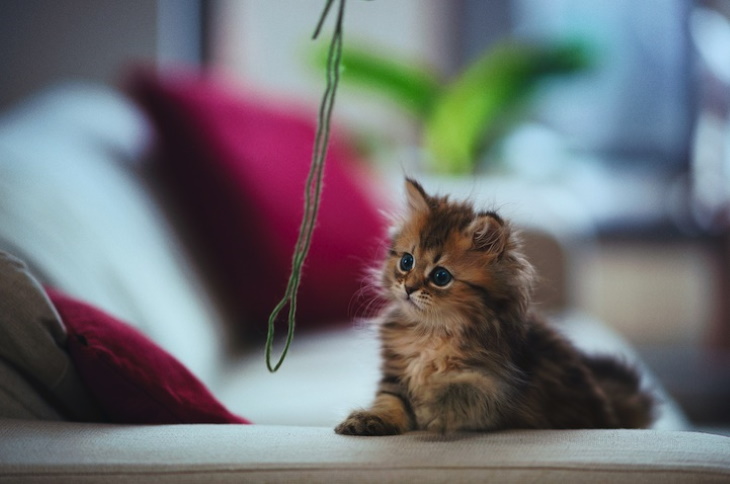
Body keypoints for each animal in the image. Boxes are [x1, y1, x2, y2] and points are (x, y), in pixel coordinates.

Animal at [336, 180, 656, 436]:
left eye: (440, 277)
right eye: (406, 262)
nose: (409, 288)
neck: (432, 332)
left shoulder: (501, 387)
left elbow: (467, 390)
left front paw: (437, 403)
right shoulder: (396, 376)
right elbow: (390, 401)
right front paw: (370, 419)